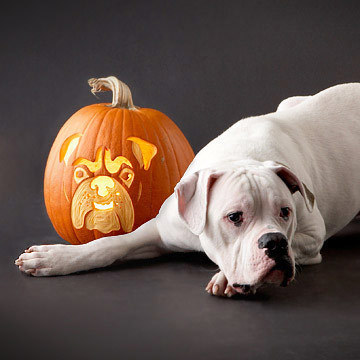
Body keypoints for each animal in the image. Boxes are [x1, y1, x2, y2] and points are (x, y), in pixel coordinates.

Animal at [14, 83, 360, 296]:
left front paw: (227, 276)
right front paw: (56, 258)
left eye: (285, 213)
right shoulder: (160, 228)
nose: (274, 242)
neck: (241, 156)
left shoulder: (311, 238)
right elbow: (111, 244)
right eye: (234, 217)